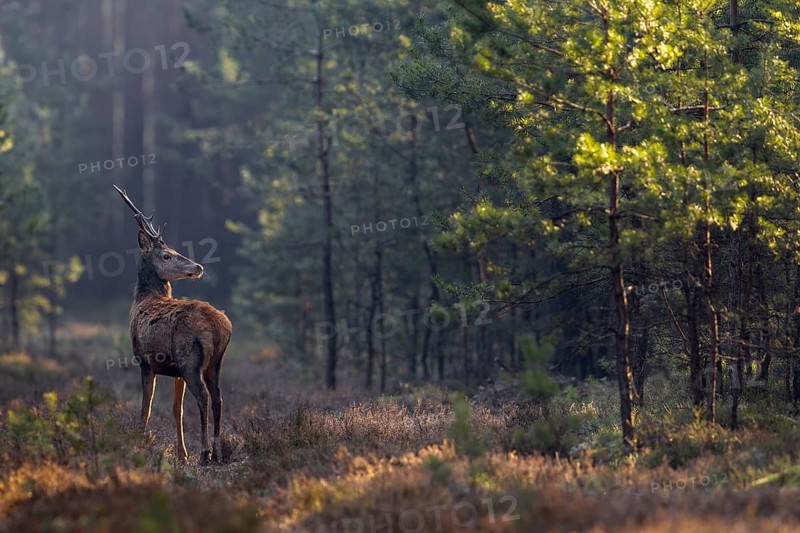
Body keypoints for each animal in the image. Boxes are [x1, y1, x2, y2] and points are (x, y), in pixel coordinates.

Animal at [113, 185, 232, 464]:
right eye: (167, 255)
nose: (198, 266)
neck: (143, 299)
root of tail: (221, 326)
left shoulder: (145, 362)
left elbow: (146, 407)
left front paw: (140, 443)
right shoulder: (175, 371)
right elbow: (176, 409)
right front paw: (181, 454)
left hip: (190, 359)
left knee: (204, 396)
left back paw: (205, 452)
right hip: (215, 362)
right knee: (218, 398)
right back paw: (218, 452)